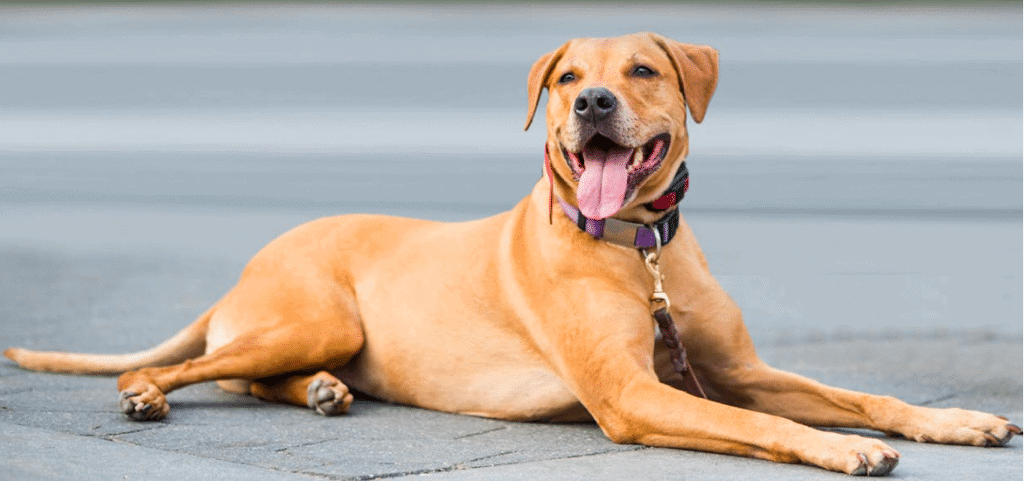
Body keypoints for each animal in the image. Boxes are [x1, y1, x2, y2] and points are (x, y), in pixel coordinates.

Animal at [6, 31, 1015, 474]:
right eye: (567, 77)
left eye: (641, 70)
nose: (593, 103)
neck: (636, 245)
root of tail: (251, 263)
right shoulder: (634, 396)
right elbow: (768, 424)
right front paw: (840, 448)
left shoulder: (739, 369)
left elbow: (862, 394)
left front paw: (955, 420)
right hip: (313, 315)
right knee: (191, 369)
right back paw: (146, 394)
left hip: (315, 335)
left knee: (252, 376)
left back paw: (325, 393)